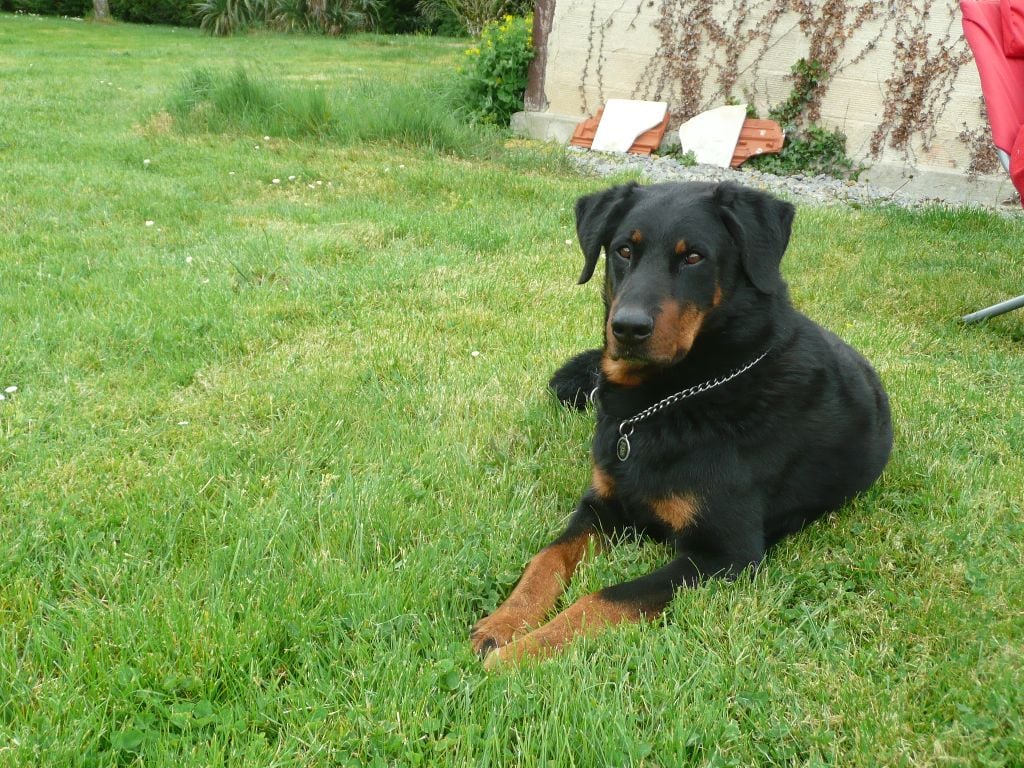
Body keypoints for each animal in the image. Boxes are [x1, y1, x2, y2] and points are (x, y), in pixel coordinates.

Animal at [468, 180, 892, 667]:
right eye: (623, 250)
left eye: (693, 257)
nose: (627, 328)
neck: (665, 401)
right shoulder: (601, 507)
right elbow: (546, 559)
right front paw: (504, 623)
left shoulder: (723, 554)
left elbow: (604, 597)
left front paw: (523, 653)